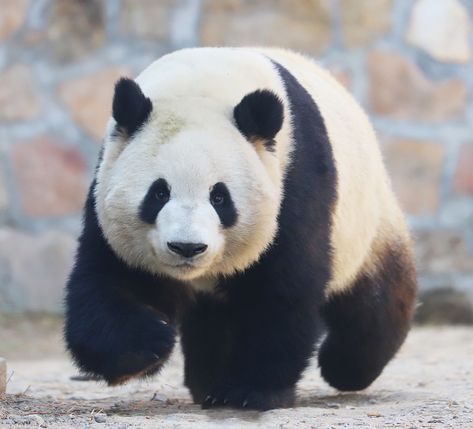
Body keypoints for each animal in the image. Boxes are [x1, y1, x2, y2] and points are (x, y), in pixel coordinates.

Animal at [65, 46, 416, 408]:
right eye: (159, 193)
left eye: (219, 197)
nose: (187, 248)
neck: (204, 81)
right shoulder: (107, 188)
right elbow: (108, 282)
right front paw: (146, 347)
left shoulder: (294, 180)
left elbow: (282, 291)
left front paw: (253, 391)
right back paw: (208, 381)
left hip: (363, 225)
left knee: (371, 303)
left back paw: (345, 367)